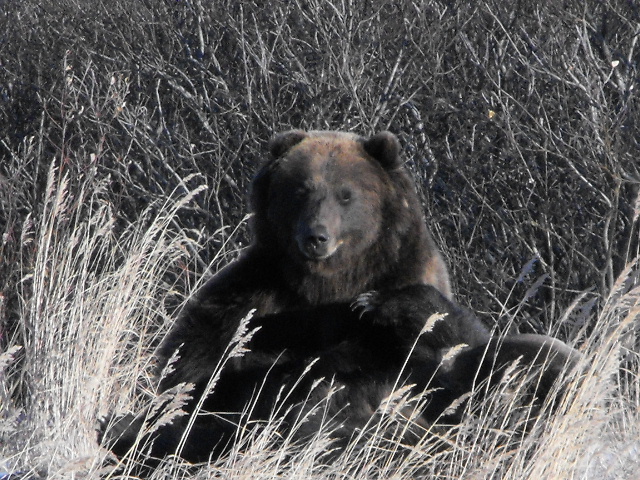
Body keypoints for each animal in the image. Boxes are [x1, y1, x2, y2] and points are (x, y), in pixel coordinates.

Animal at [99, 131, 580, 468]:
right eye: (300, 190)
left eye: (346, 194)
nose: (317, 236)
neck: (329, 284)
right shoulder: (249, 296)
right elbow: (193, 372)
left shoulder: (402, 293)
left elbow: (441, 350)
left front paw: (379, 307)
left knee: (542, 361)